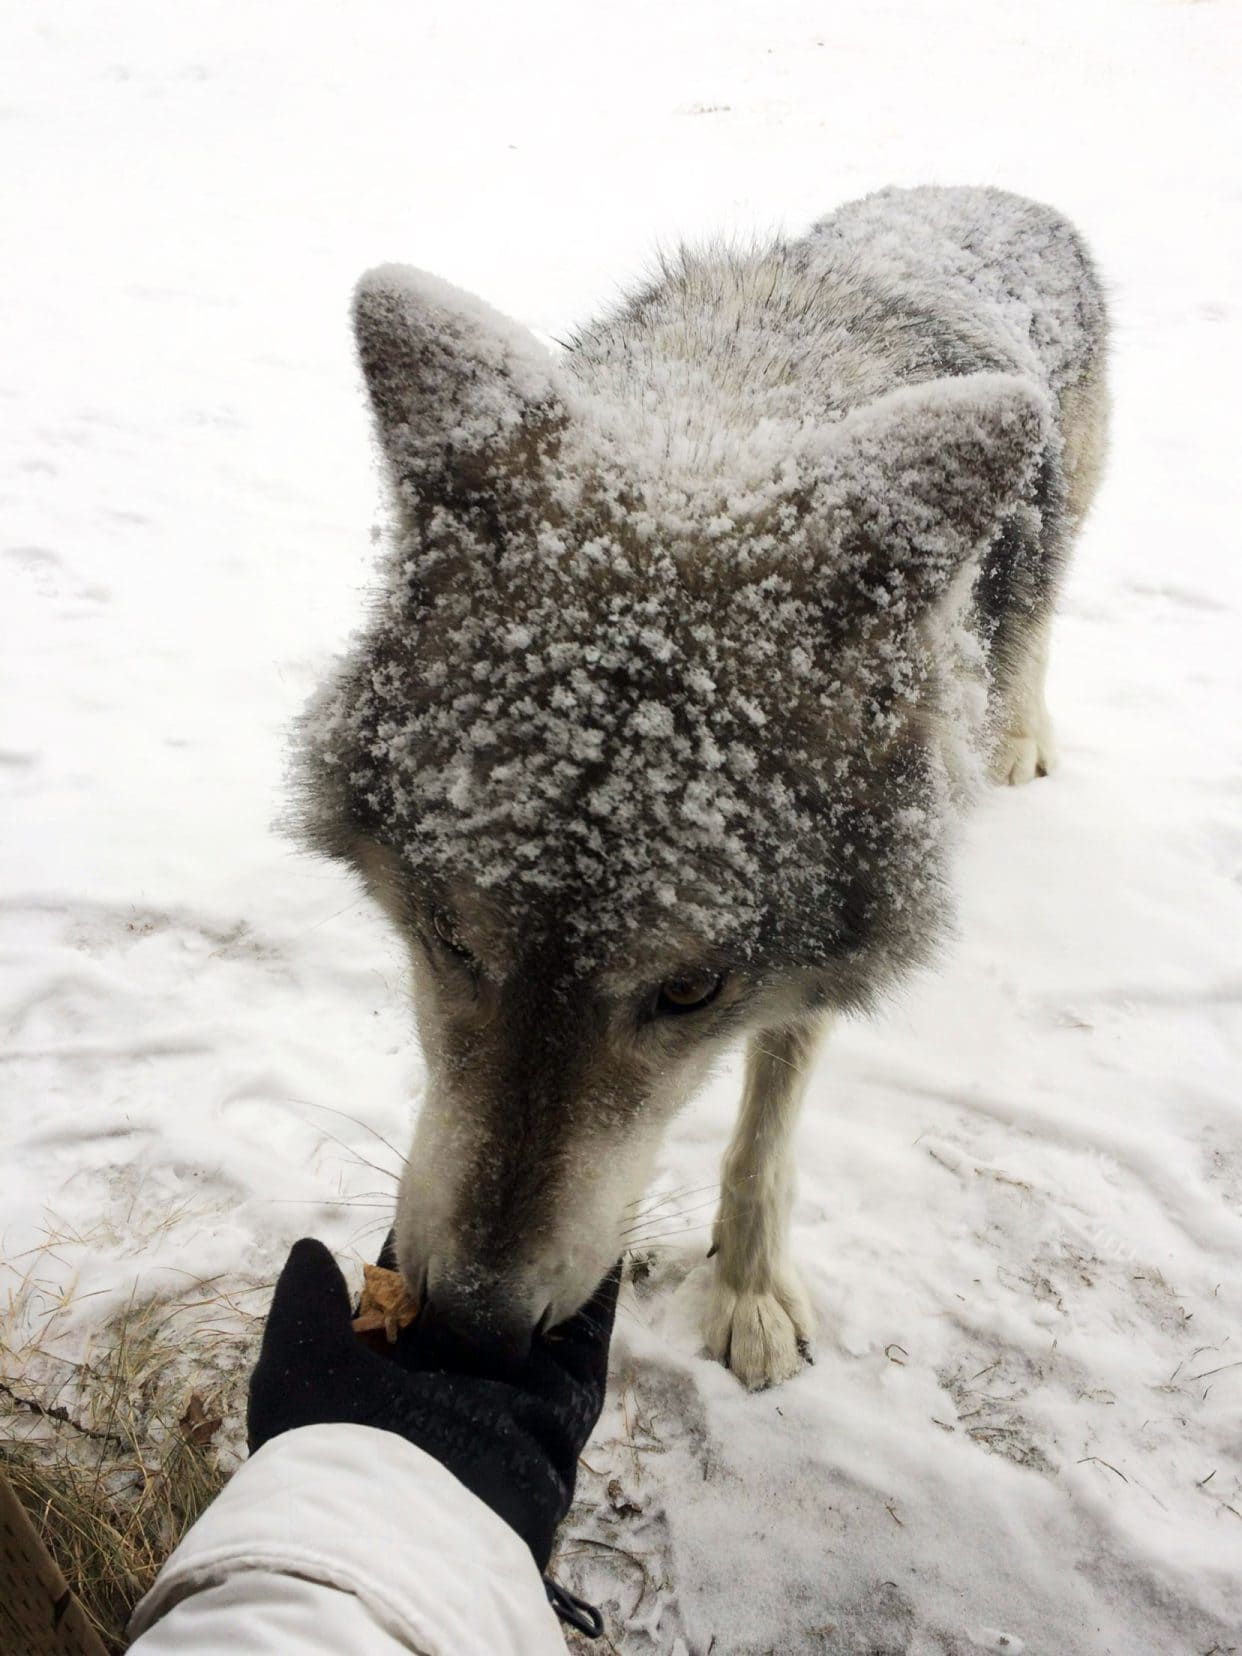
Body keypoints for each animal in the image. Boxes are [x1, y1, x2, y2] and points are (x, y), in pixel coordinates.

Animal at [296, 187, 1112, 1384]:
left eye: (689, 992)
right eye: (449, 938)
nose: (474, 1331)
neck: (729, 411)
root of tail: (985, 193)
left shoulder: (811, 962)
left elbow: (765, 1128)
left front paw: (748, 1291)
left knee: (1039, 633)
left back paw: (1018, 738)